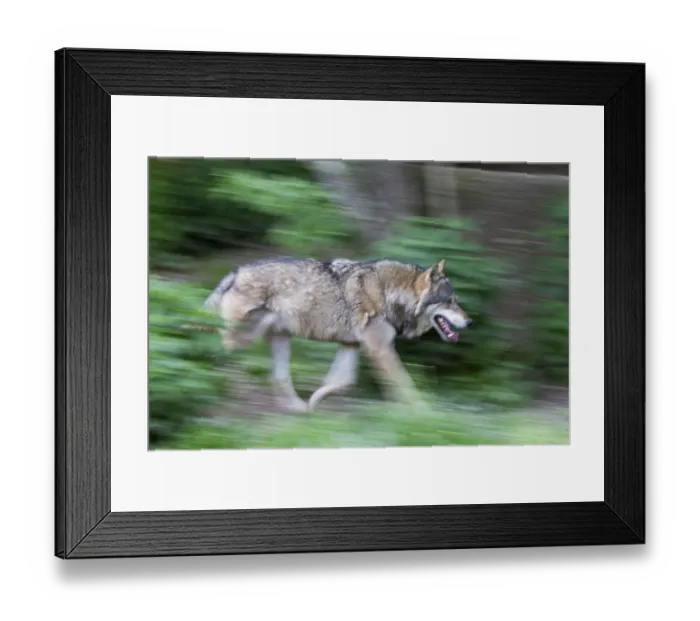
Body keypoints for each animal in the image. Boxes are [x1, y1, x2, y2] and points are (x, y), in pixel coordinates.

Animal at [203, 257, 472, 412]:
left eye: (456, 300)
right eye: (449, 301)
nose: (469, 321)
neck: (390, 294)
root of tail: (236, 272)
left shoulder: (350, 345)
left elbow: (342, 382)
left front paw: (315, 402)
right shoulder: (379, 349)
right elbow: (405, 386)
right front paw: (425, 414)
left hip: (280, 339)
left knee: (278, 377)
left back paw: (298, 408)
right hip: (243, 338)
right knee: (218, 351)